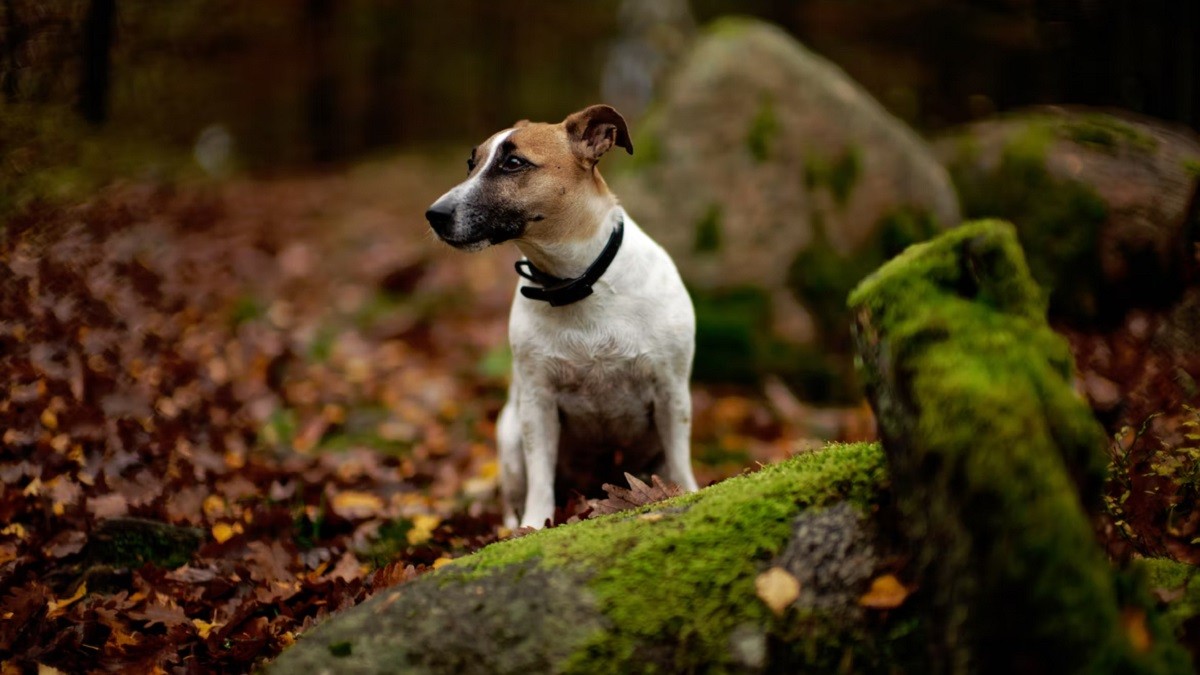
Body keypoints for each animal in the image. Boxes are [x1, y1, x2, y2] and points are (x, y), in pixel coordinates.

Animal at [424, 103, 700, 526]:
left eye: (514, 163)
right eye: (471, 163)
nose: (434, 214)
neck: (578, 281)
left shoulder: (671, 392)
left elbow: (679, 460)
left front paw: (687, 492)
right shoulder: (538, 404)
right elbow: (540, 479)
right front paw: (534, 525)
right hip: (509, 437)